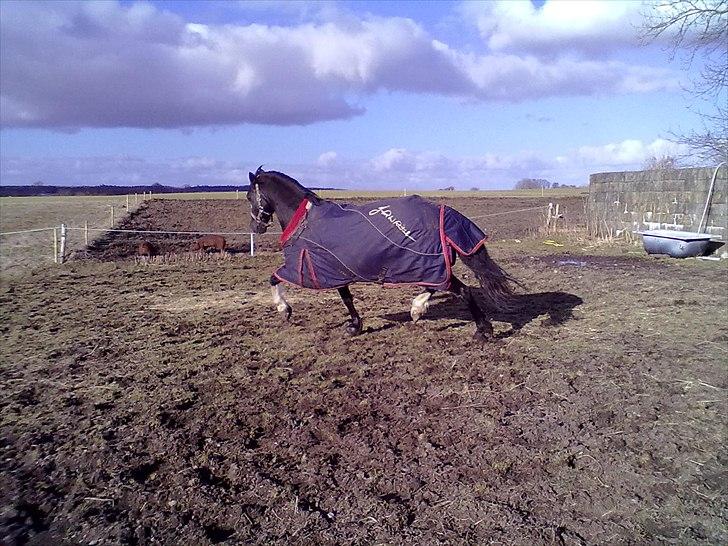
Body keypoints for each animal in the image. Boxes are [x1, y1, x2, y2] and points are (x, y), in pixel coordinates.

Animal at [247, 166, 520, 340]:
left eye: (249, 195)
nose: (255, 227)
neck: (304, 218)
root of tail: (443, 211)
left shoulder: (306, 268)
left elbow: (273, 278)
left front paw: (284, 309)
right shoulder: (336, 270)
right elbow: (347, 298)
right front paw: (355, 326)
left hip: (426, 263)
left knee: (460, 290)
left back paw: (480, 330)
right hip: (429, 264)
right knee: (442, 285)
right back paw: (419, 308)